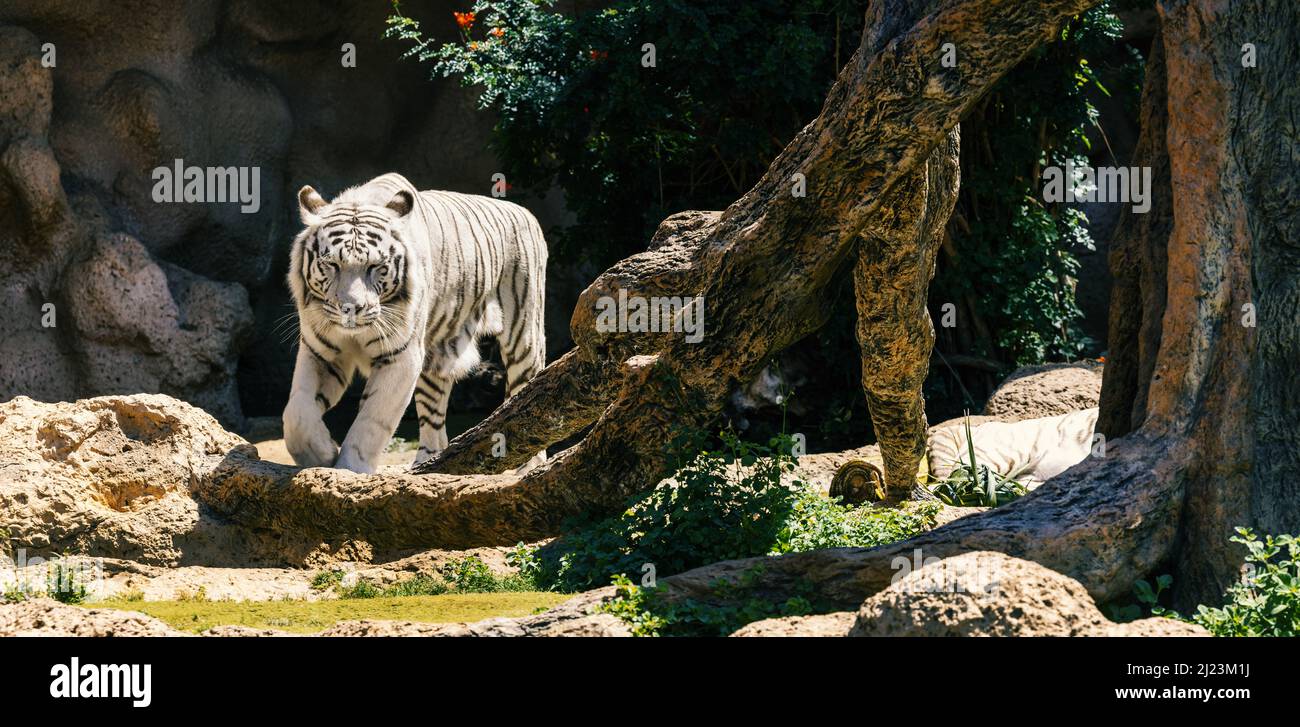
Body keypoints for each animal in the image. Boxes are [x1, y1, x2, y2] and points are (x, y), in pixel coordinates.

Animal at [282, 172, 546, 475]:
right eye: (331, 264)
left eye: (375, 267)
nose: (351, 309)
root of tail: (523, 211)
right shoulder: (321, 352)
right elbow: (297, 410)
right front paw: (320, 453)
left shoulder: (401, 355)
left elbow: (371, 420)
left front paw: (349, 469)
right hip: (434, 362)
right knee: (434, 424)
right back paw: (425, 466)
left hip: (523, 336)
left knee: (529, 396)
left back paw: (531, 467)